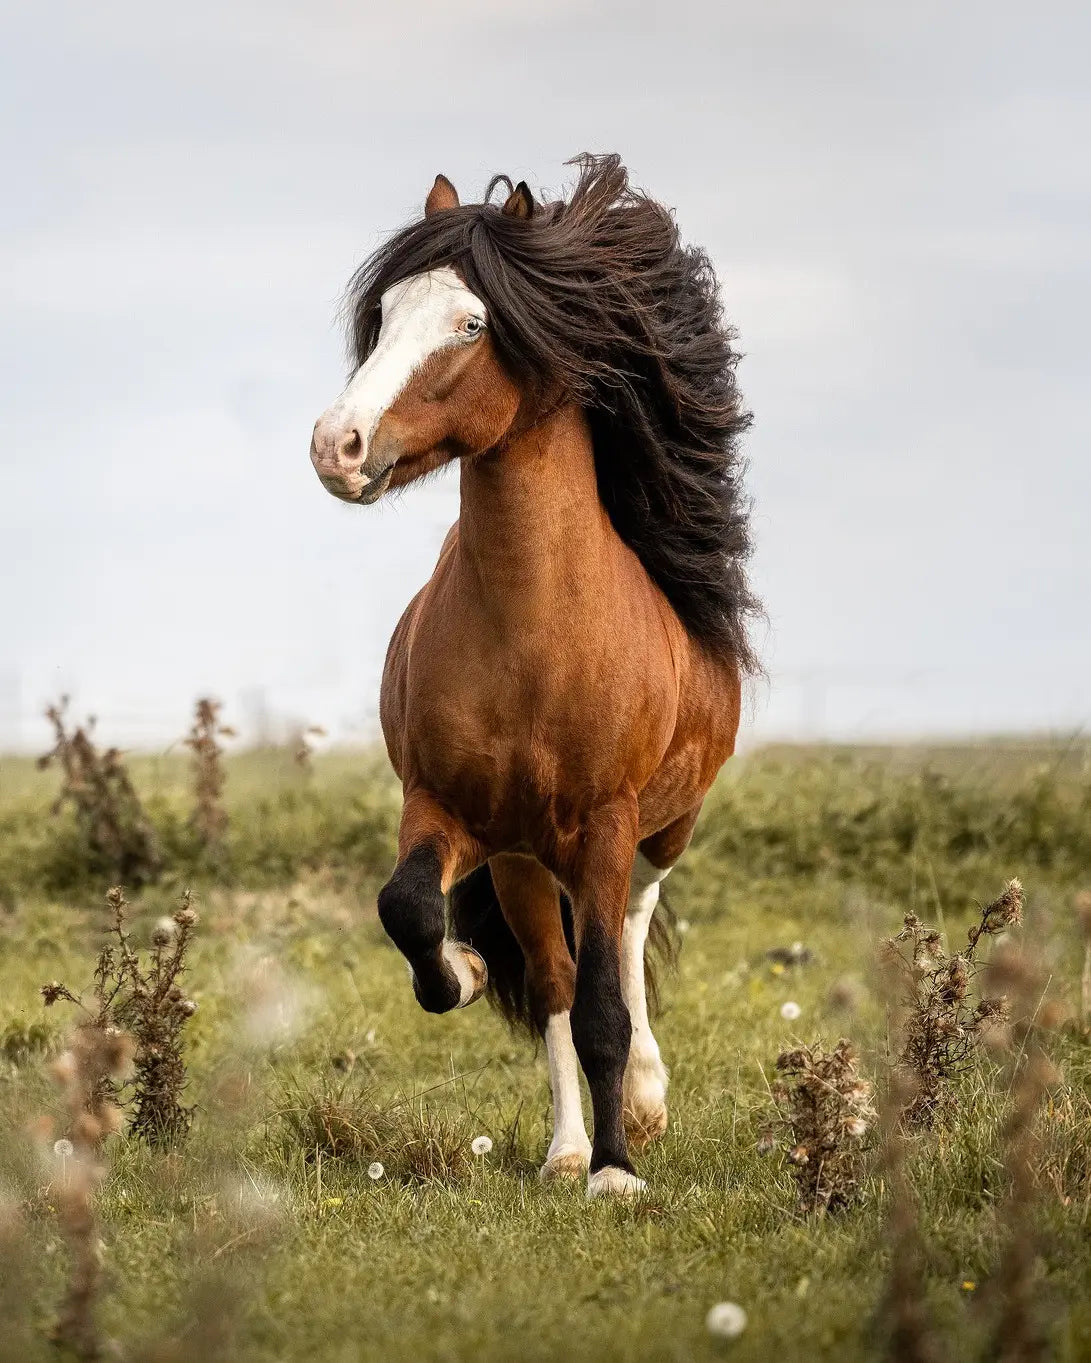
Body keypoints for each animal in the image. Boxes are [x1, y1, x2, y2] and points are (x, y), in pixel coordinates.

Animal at [309, 154, 759, 1197]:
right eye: (383, 315)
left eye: (471, 324)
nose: (334, 446)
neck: (533, 638)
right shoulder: (450, 811)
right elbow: (411, 911)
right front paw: (467, 973)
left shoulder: (604, 825)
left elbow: (602, 1005)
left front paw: (617, 1171)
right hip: (524, 858)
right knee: (553, 976)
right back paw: (560, 1149)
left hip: (656, 832)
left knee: (627, 938)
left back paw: (643, 1100)